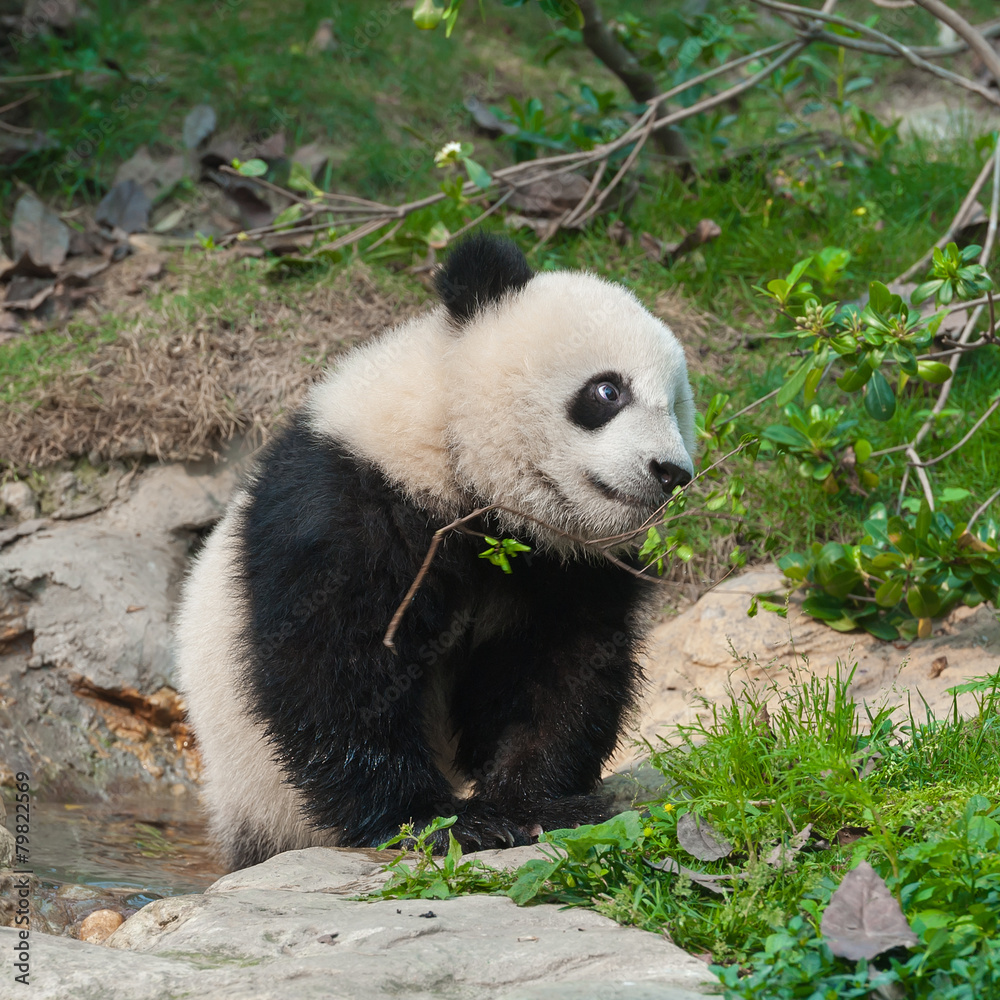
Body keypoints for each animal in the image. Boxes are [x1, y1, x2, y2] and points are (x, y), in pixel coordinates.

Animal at [176, 233, 696, 871]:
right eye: (608, 389)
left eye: (677, 407)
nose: (671, 472)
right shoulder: (347, 501)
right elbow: (335, 667)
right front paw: (439, 822)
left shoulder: (568, 567)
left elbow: (563, 668)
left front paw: (534, 805)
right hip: (255, 788)